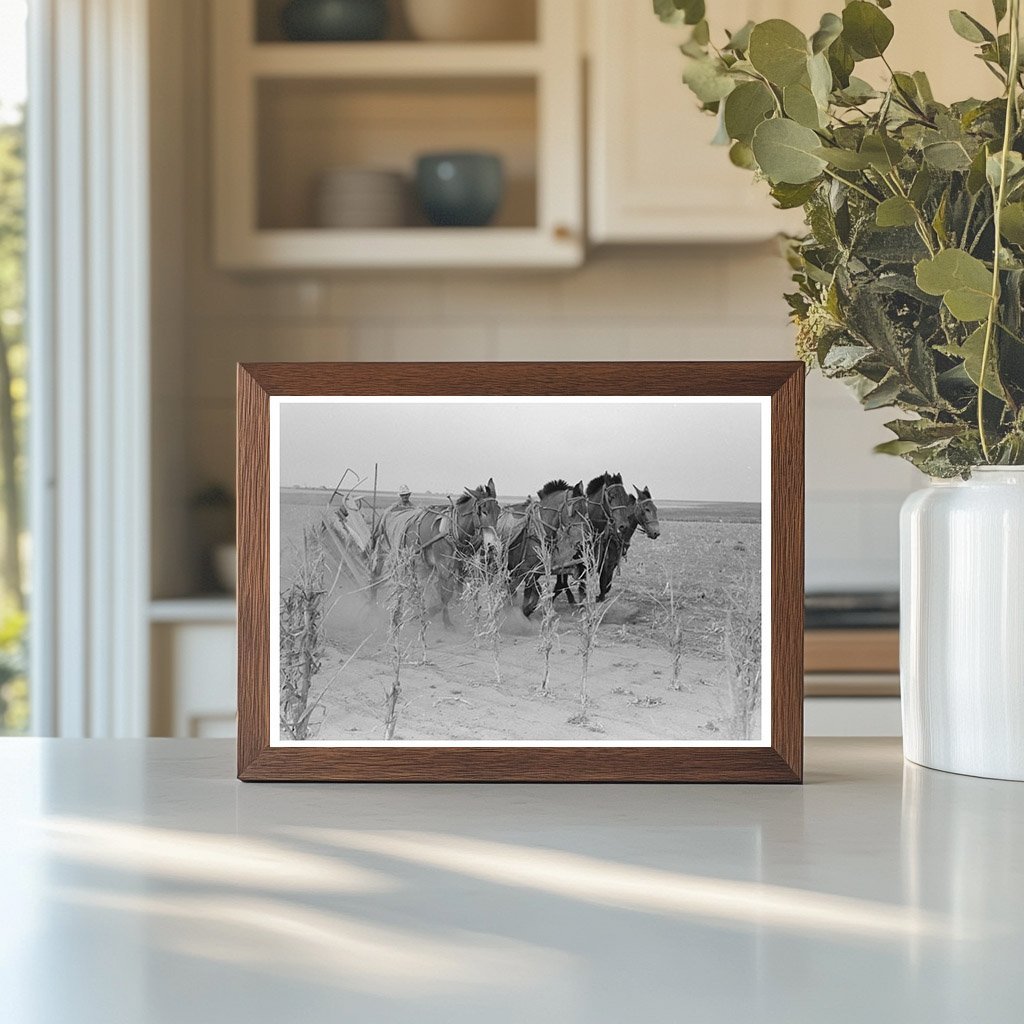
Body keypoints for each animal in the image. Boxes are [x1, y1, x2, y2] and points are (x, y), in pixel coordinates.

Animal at [376, 475, 503, 626]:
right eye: (483, 511)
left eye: (499, 511)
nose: (492, 544)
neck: (454, 529)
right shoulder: (443, 567)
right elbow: (445, 594)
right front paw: (445, 620)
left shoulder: (461, 567)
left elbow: (456, 591)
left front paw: (457, 612)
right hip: (404, 560)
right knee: (405, 585)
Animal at [499, 477, 589, 614]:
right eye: (575, 510)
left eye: (585, 510)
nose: (582, 541)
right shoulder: (526, 570)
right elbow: (532, 594)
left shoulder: (535, 571)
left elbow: (533, 594)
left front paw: (526, 611)